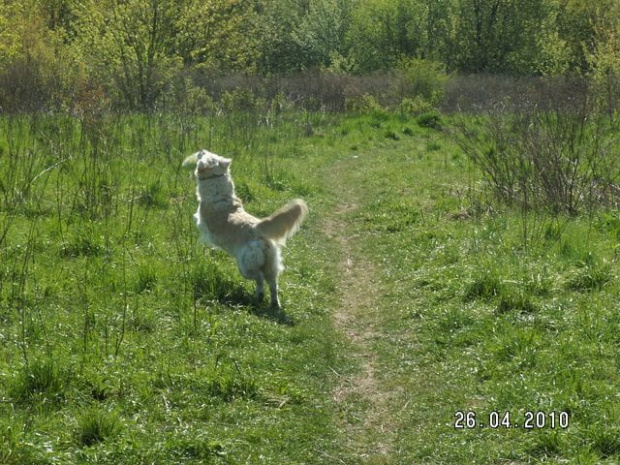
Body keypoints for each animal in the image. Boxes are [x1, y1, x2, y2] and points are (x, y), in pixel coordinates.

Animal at [188, 149, 306, 308]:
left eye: (207, 155)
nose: (201, 150)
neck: (218, 191)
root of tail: (258, 229)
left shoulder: (202, 223)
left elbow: (196, 218)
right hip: (271, 266)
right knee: (273, 285)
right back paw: (274, 303)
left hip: (245, 266)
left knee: (259, 278)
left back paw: (260, 296)